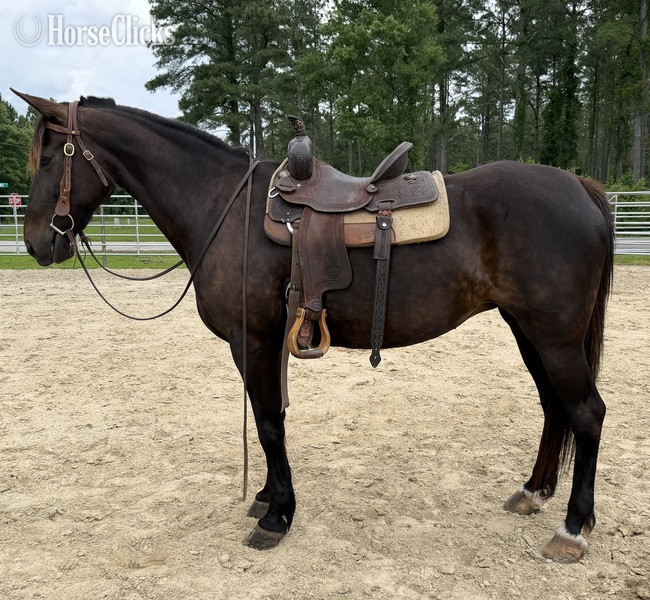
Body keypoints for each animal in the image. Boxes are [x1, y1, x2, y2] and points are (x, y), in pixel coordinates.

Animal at [12, 90, 613, 563]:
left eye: (50, 156)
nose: (37, 242)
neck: (223, 206)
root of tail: (581, 187)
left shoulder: (252, 341)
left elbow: (267, 424)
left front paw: (276, 516)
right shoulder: (270, 341)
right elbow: (273, 416)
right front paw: (267, 498)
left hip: (554, 337)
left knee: (586, 412)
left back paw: (572, 529)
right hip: (529, 331)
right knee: (554, 407)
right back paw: (533, 492)